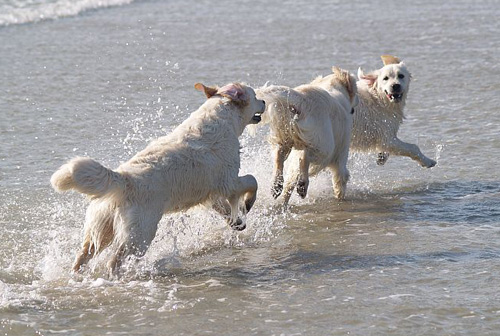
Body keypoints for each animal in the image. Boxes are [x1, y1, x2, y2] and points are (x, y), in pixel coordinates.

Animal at [51, 82, 266, 276]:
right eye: (255, 96)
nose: (264, 101)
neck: (223, 117)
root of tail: (122, 178)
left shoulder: (210, 192)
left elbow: (224, 207)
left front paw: (236, 223)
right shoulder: (229, 181)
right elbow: (252, 180)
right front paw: (247, 203)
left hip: (103, 227)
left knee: (82, 255)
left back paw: (76, 275)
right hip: (140, 233)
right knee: (115, 260)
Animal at [258, 67, 360, 206]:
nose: (358, 101)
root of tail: (303, 99)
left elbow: (290, 182)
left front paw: (283, 201)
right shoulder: (341, 154)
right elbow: (341, 179)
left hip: (285, 136)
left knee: (280, 155)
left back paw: (276, 185)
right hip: (325, 147)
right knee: (305, 157)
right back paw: (302, 186)